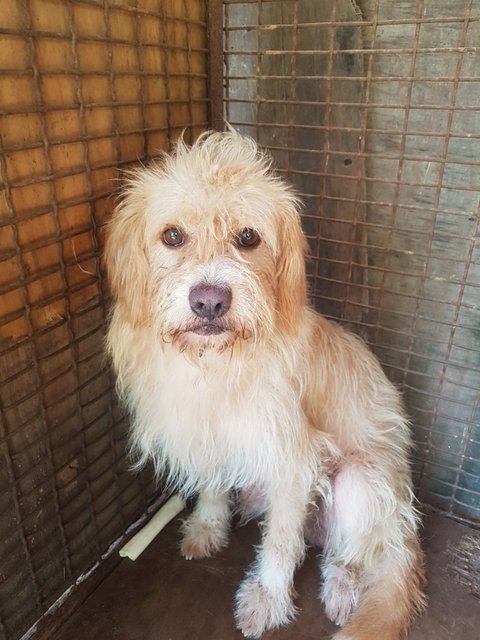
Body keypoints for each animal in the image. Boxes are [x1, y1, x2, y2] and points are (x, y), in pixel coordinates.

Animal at [105, 131, 425, 639]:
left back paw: (342, 589)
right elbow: (211, 484)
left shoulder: (293, 460)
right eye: (173, 236)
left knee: (351, 556)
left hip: (363, 481)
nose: (209, 301)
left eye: (248, 237)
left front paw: (268, 598)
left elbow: (280, 542)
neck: (214, 364)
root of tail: (405, 526)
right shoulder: (206, 433)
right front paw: (208, 525)